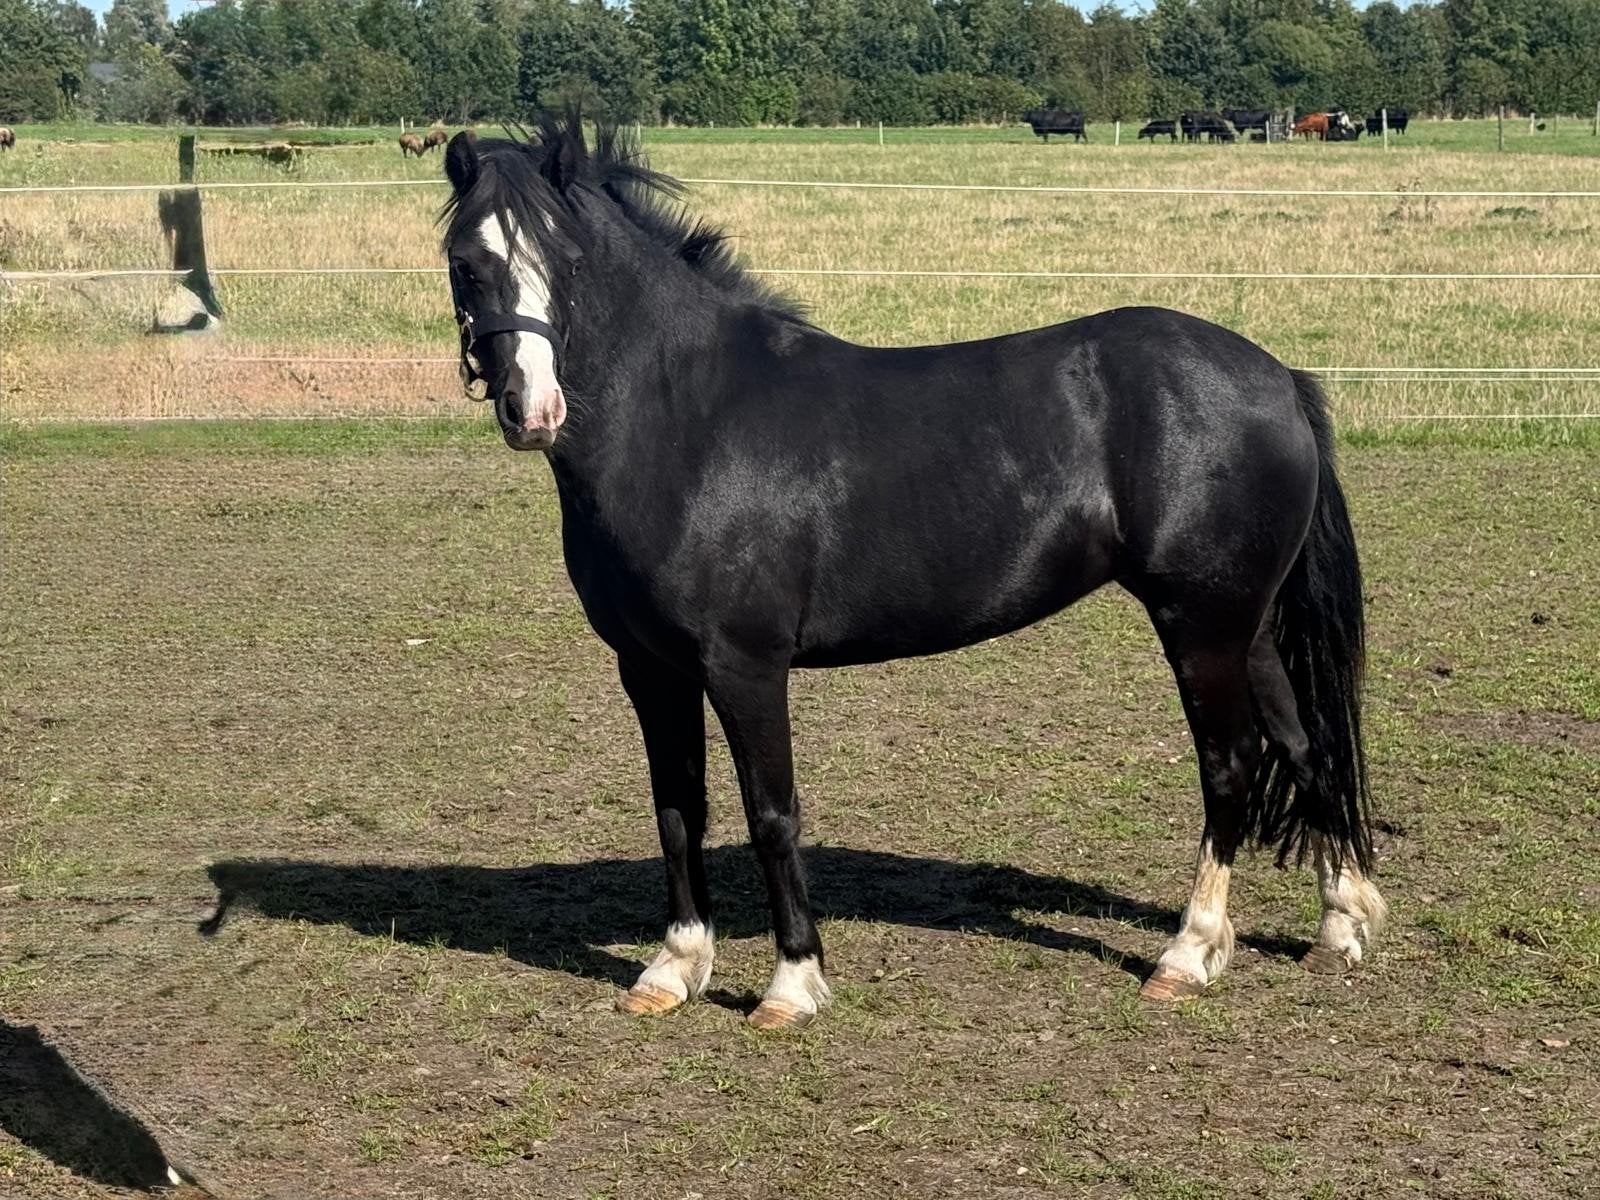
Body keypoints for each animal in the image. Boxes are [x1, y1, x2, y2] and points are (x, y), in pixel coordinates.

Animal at [436, 116, 1386, 1030]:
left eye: (565, 260)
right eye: (466, 264)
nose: (533, 410)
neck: (692, 420)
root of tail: (1280, 378)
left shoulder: (745, 666)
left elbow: (771, 813)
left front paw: (792, 984)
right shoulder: (650, 668)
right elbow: (679, 810)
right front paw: (673, 969)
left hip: (1202, 626)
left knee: (1229, 766)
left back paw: (1187, 955)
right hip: (1245, 627)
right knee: (1305, 746)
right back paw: (1338, 926)